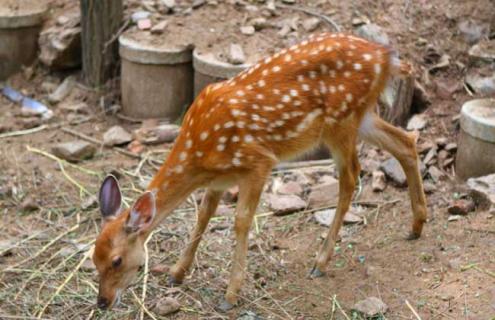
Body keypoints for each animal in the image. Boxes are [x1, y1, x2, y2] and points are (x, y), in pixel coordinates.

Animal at [95, 31, 428, 310]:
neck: (198, 153)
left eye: (116, 261)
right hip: (361, 116)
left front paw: (230, 295)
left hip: (340, 122)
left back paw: (321, 262)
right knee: (405, 143)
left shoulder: (258, 162)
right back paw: (416, 226)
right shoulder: (219, 179)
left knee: (351, 177)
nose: (102, 302)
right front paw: (177, 272)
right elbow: (203, 214)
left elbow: (241, 221)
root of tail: (386, 57)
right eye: (93, 259)